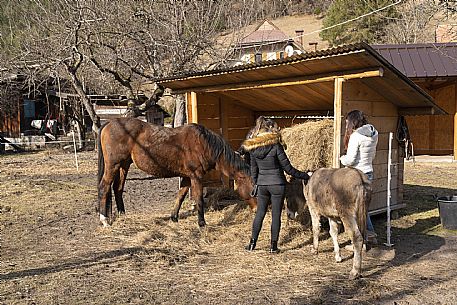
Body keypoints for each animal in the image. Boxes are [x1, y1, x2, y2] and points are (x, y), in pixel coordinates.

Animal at [97, 116, 255, 226]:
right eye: (253, 190)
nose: (257, 210)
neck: (203, 144)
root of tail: (109, 123)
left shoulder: (186, 177)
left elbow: (180, 196)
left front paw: (174, 217)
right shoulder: (196, 176)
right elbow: (198, 199)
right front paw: (201, 223)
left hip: (124, 165)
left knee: (117, 188)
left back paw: (122, 215)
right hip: (113, 165)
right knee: (104, 187)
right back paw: (104, 219)